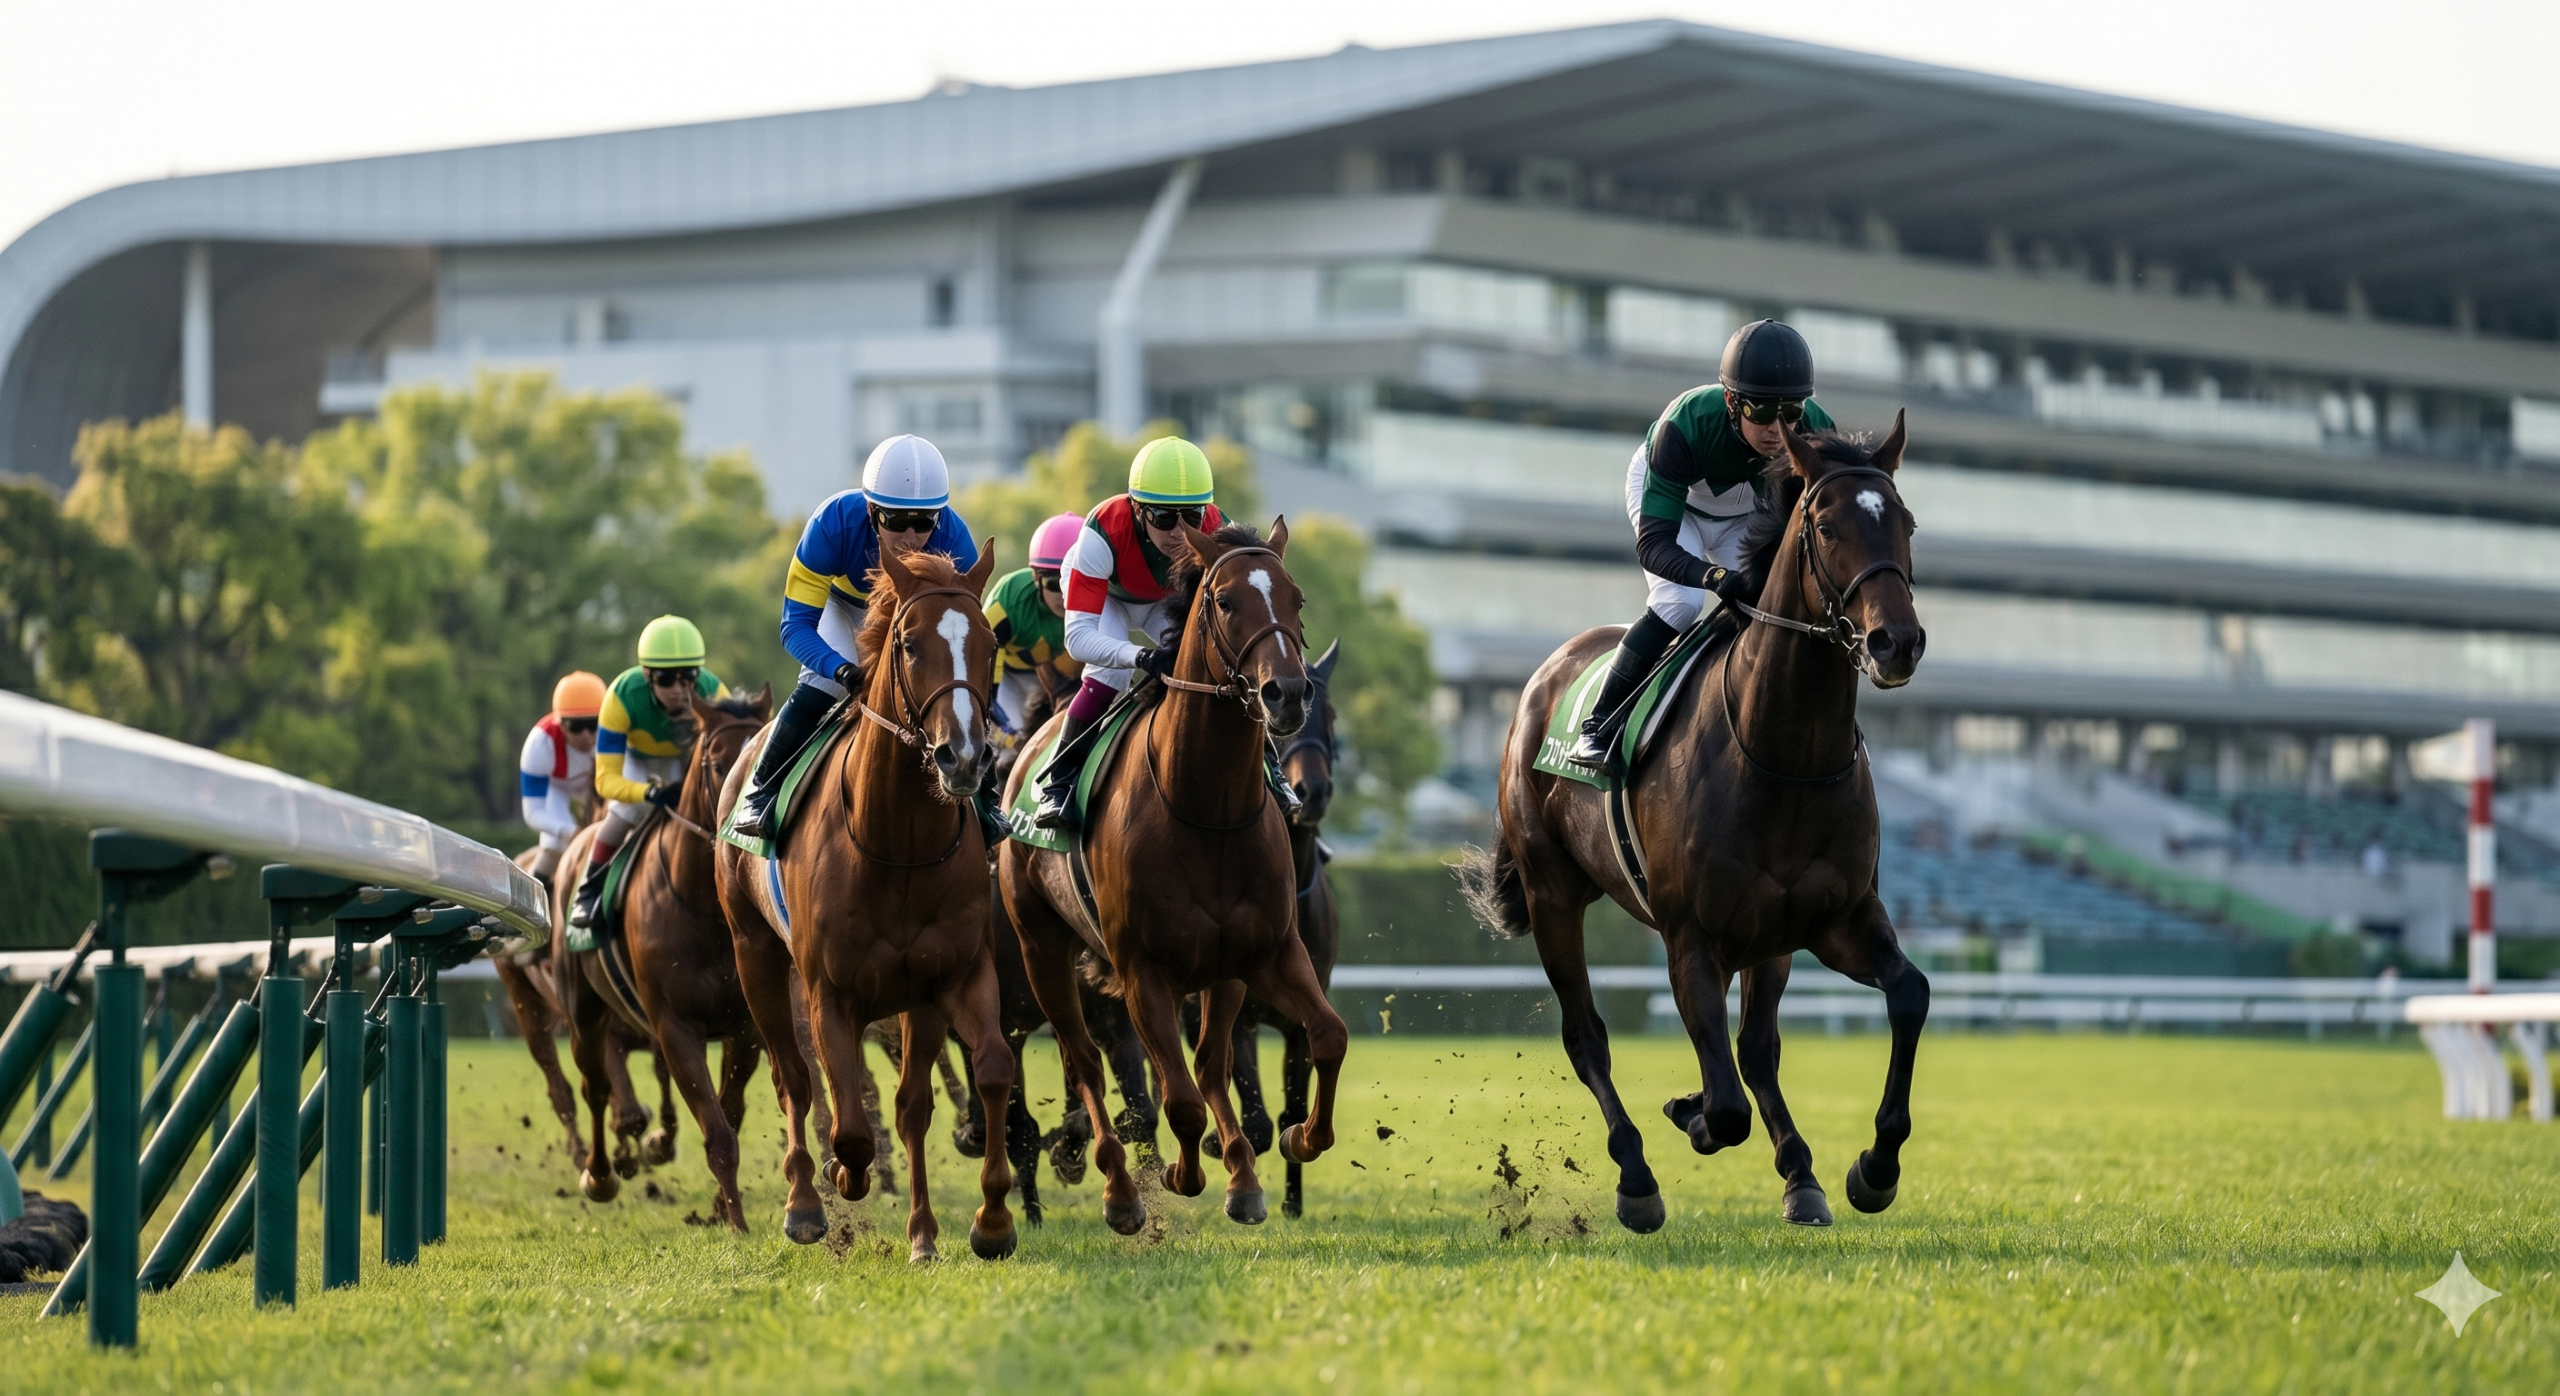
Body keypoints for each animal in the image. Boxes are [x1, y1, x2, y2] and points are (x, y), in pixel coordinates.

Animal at [716, 544, 1019, 1262]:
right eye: (908, 644)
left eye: (990, 643)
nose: (964, 758)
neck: (896, 843)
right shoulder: (830, 989)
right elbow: (847, 1119)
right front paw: (842, 1178)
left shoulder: (949, 976)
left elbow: (981, 1075)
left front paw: (983, 1223)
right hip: (756, 956)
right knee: (793, 1079)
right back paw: (804, 1202)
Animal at [998, 519, 1347, 1233]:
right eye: (1224, 601)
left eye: (1296, 599)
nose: (1286, 693)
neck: (1207, 809)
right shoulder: (1141, 970)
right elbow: (1175, 1098)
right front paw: (1180, 1175)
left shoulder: (1266, 952)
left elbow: (1324, 1037)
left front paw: (1291, 1145)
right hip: (1042, 950)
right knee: (1084, 1061)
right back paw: (1118, 1190)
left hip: (1216, 974)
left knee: (1204, 1066)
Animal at [1463, 418, 1931, 1233]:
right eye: (1826, 525)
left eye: (1902, 521)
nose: (1894, 643)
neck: (1784, 755)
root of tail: (1546, 675)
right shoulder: (1692, 938)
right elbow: (1725, 1105)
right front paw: (1692, 1114)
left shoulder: (1834, 918)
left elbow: (1907, 994)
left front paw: (1872, 1168)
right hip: (1553, 895)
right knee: (1587, 1038)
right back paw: (1637, 1177)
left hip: (1770, 940)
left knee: (1758, 1049)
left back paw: (1800, 1175)